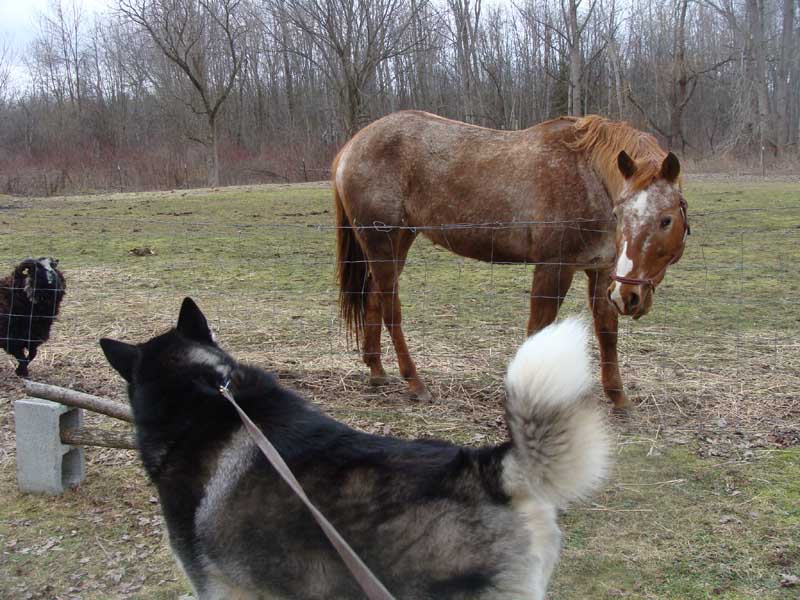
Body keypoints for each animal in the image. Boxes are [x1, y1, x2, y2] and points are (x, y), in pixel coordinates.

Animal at [332, 110, 688, 408]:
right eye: (620, 214)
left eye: (665, 220)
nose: (631, 297)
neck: (586, 176)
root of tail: (350, 148)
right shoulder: (554, 268)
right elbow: (538, 327)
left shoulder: (602, 271)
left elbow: (606, 330)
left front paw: (618, 397)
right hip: (382, 243)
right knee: (392, 309)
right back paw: (415, 382)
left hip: (399, 242)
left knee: (375, 298)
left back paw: (377, 370)